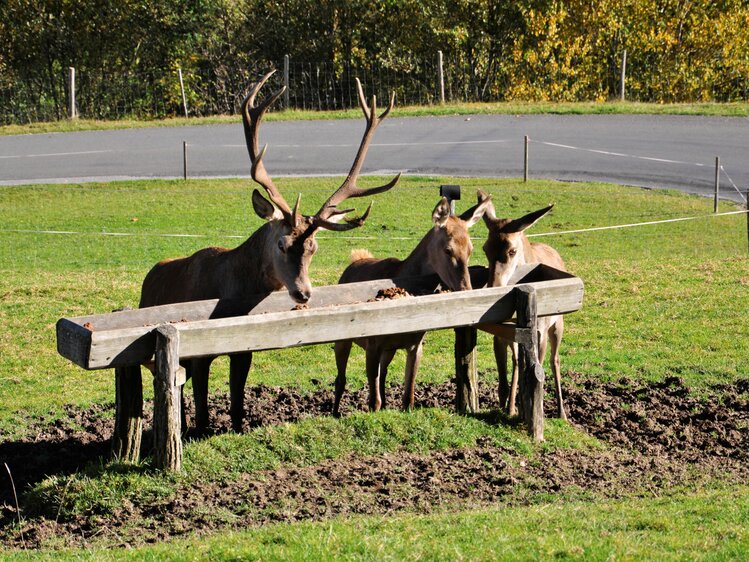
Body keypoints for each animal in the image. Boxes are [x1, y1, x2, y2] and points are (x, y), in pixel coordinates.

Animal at [139, 70, 398, 428]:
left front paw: (234, 426)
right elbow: (203, 408)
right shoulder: (199, 350)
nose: (303, 292)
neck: (231, 290)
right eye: (281, 243)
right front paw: (200, 429)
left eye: (314, 247)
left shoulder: (243, 349)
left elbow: (237, 401)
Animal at [334, 192, 490, 416]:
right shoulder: (372, 343)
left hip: (389, 350)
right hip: (343, 339)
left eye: (471, 249)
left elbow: (408, 398)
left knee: (383, 373)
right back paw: (334, 412)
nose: (466, 288)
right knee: (340, 378)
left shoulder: (416, 344)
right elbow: (374, 401)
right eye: (448, 250)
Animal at [480, 192, 568, 416]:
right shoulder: (499, 332)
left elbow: (538, 370)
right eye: (485, 248)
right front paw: (506, 407)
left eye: (512, 250)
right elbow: (504, 374)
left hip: (558, 323)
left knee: (555, 360)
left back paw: (562, 413)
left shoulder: (540, 331)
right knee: (518, 361)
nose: (493, 286)